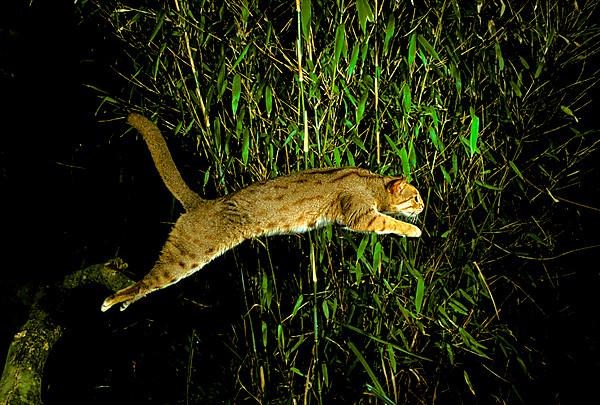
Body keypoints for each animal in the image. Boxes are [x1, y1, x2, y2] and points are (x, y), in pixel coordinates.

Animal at [102, 115, 422, 310]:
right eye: (416, 197)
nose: (423, 206)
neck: (370, 182)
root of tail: (200, 204)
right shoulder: (359, 213)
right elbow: (389, 222)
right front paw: (415, 229)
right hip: (188, 256)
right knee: (149, 280)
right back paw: (114, 300)